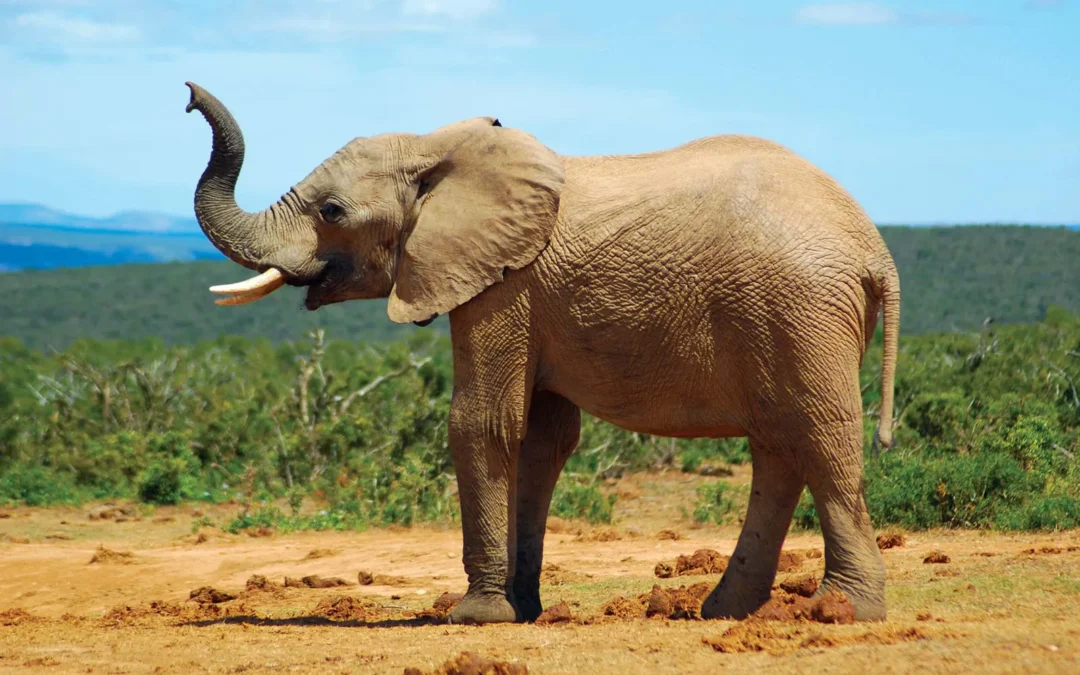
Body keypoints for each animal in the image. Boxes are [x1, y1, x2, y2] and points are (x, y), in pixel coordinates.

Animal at [183, 81, 900, 624]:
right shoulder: (524, 293)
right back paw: (725, 611)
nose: (188, 97)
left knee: (818, 435)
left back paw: (841, 612)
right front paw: (519, 611)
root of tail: (875, 250)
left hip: (801, 309)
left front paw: (474, 617)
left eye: (332, 211)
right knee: (777, 445)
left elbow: (482, 423)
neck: (438, 149)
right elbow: (540, 438)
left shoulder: (504, 284)